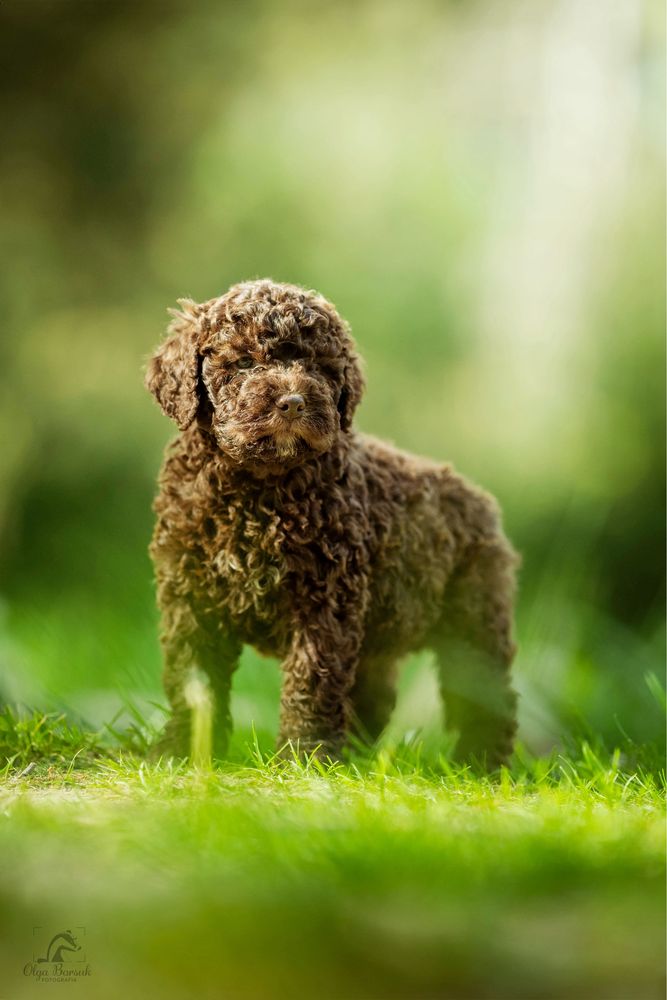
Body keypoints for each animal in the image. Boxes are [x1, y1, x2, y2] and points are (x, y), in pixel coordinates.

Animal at [145, 280, 520, 764]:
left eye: (320, 368)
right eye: (244, 362)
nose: (292, 402)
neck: (256, 488)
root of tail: (477, 497)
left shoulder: (324, 597)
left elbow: (312, 677)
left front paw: (303, 757)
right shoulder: (191, 595)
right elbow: (193, 677)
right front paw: (183, 749)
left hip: (473, 619)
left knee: (485, 695)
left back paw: (479, 763)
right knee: (374, 695)